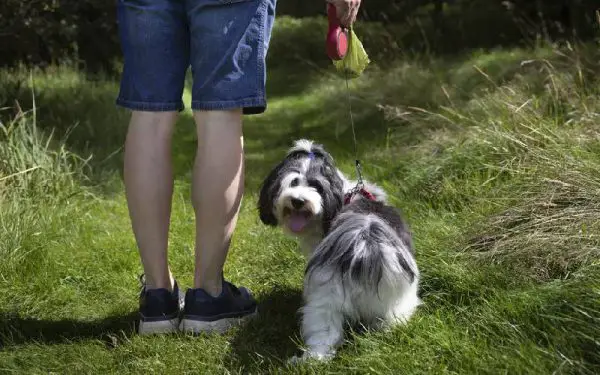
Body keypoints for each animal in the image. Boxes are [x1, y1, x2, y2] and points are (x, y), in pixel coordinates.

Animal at [258, 140, 422, 362]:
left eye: (316, 186)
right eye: (293, 182)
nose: (298, 200)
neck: (344, 197)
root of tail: (362, 247)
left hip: (327, 298)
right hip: (390, 300)